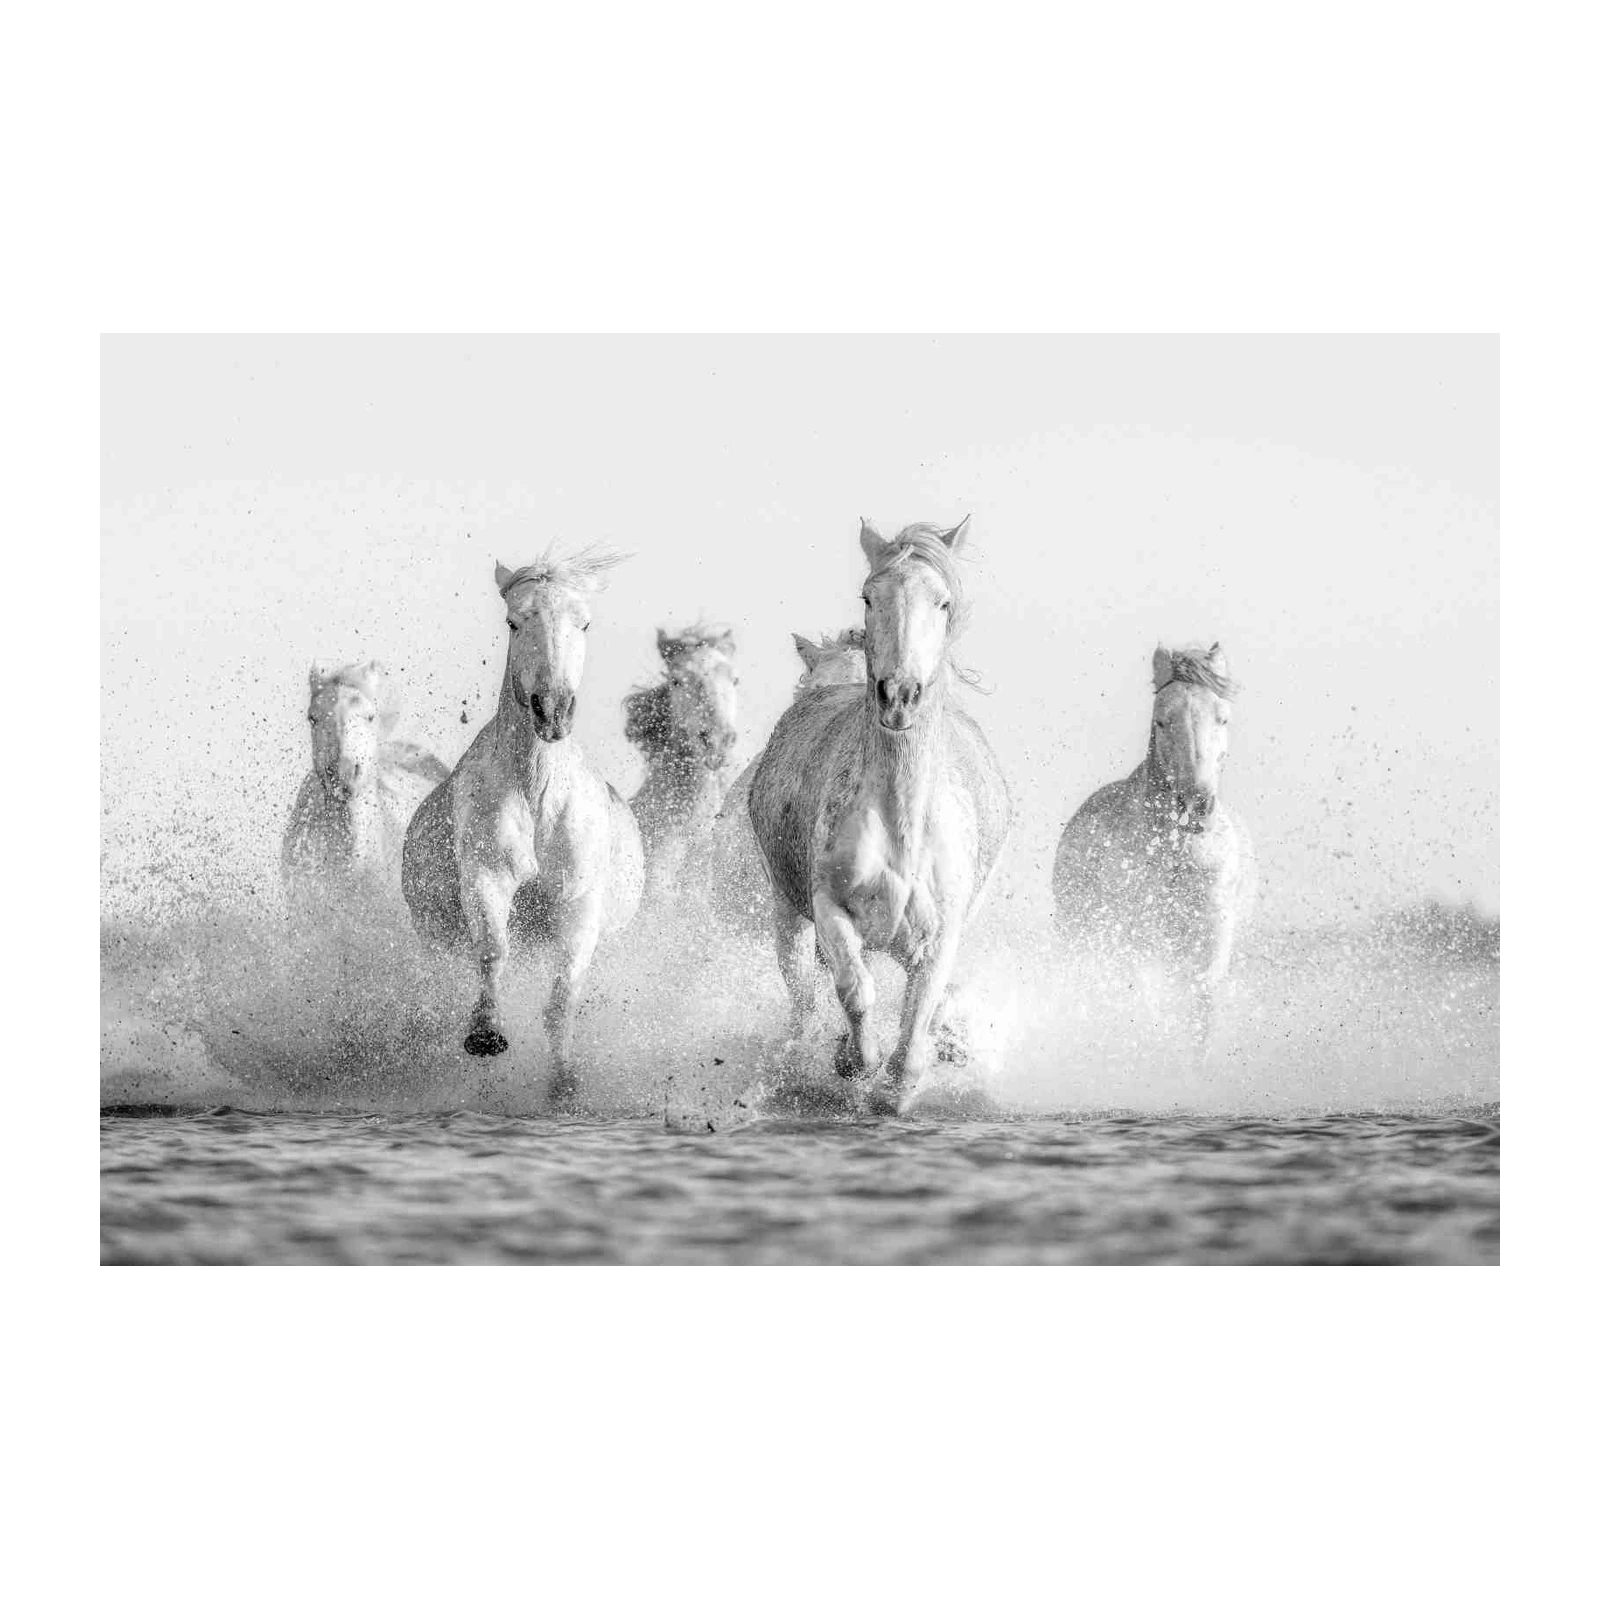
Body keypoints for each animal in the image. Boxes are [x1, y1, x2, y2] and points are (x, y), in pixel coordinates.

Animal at [400, 550, 644, 1096]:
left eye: (585, 622)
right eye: (514, 621)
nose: (551, 711)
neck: (537, 795)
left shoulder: (577, 901)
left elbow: (563, 996)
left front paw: (565, 1085)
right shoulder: (487, 879)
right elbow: (493, 951)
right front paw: (485, 1035)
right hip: (433, 937)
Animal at [747, 520, 1012, 1113]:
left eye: (942, 601)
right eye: (870, 596)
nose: (899, 696)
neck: (902, 829)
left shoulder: (940, 938)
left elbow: (916, 1026)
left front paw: (902, 1081)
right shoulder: (828, 908)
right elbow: (855, 990)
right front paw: (852, 1062)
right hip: (786, 916)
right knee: (804, 1002)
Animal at [1051, 643, 1256, 1059]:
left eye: (1223, 719)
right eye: (1162, 720)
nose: (1196, 804)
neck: (1178, 853)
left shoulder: (1210, 944)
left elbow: (1199, 1016)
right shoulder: (1134, 940)